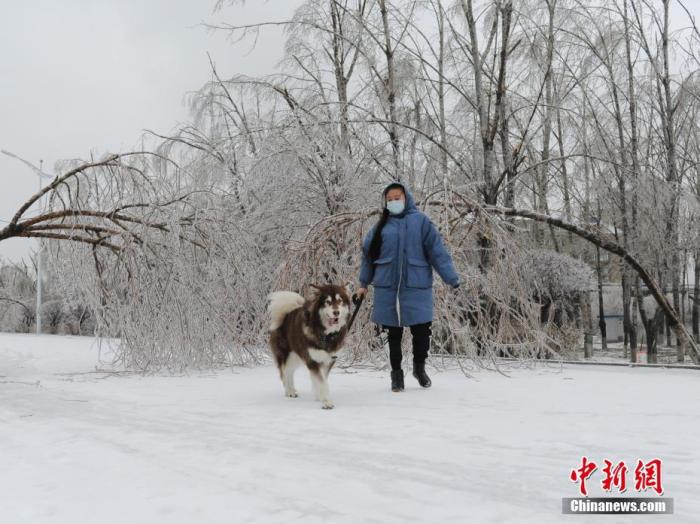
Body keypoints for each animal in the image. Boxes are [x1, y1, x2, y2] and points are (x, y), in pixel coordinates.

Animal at [270, 282, 352, 410]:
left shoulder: (328, 360)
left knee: (290, 372)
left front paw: (319, 396)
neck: (327, 335)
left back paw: (292, 390)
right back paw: (289, 391)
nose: (336, 312)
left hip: (297, 357)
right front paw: (327, 402)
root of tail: (285, 314)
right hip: (288, 355)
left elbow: (322, 379)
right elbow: (322, 382)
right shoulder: (312, 360)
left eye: (340, 301)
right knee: (285, 373)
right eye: (327, 302)